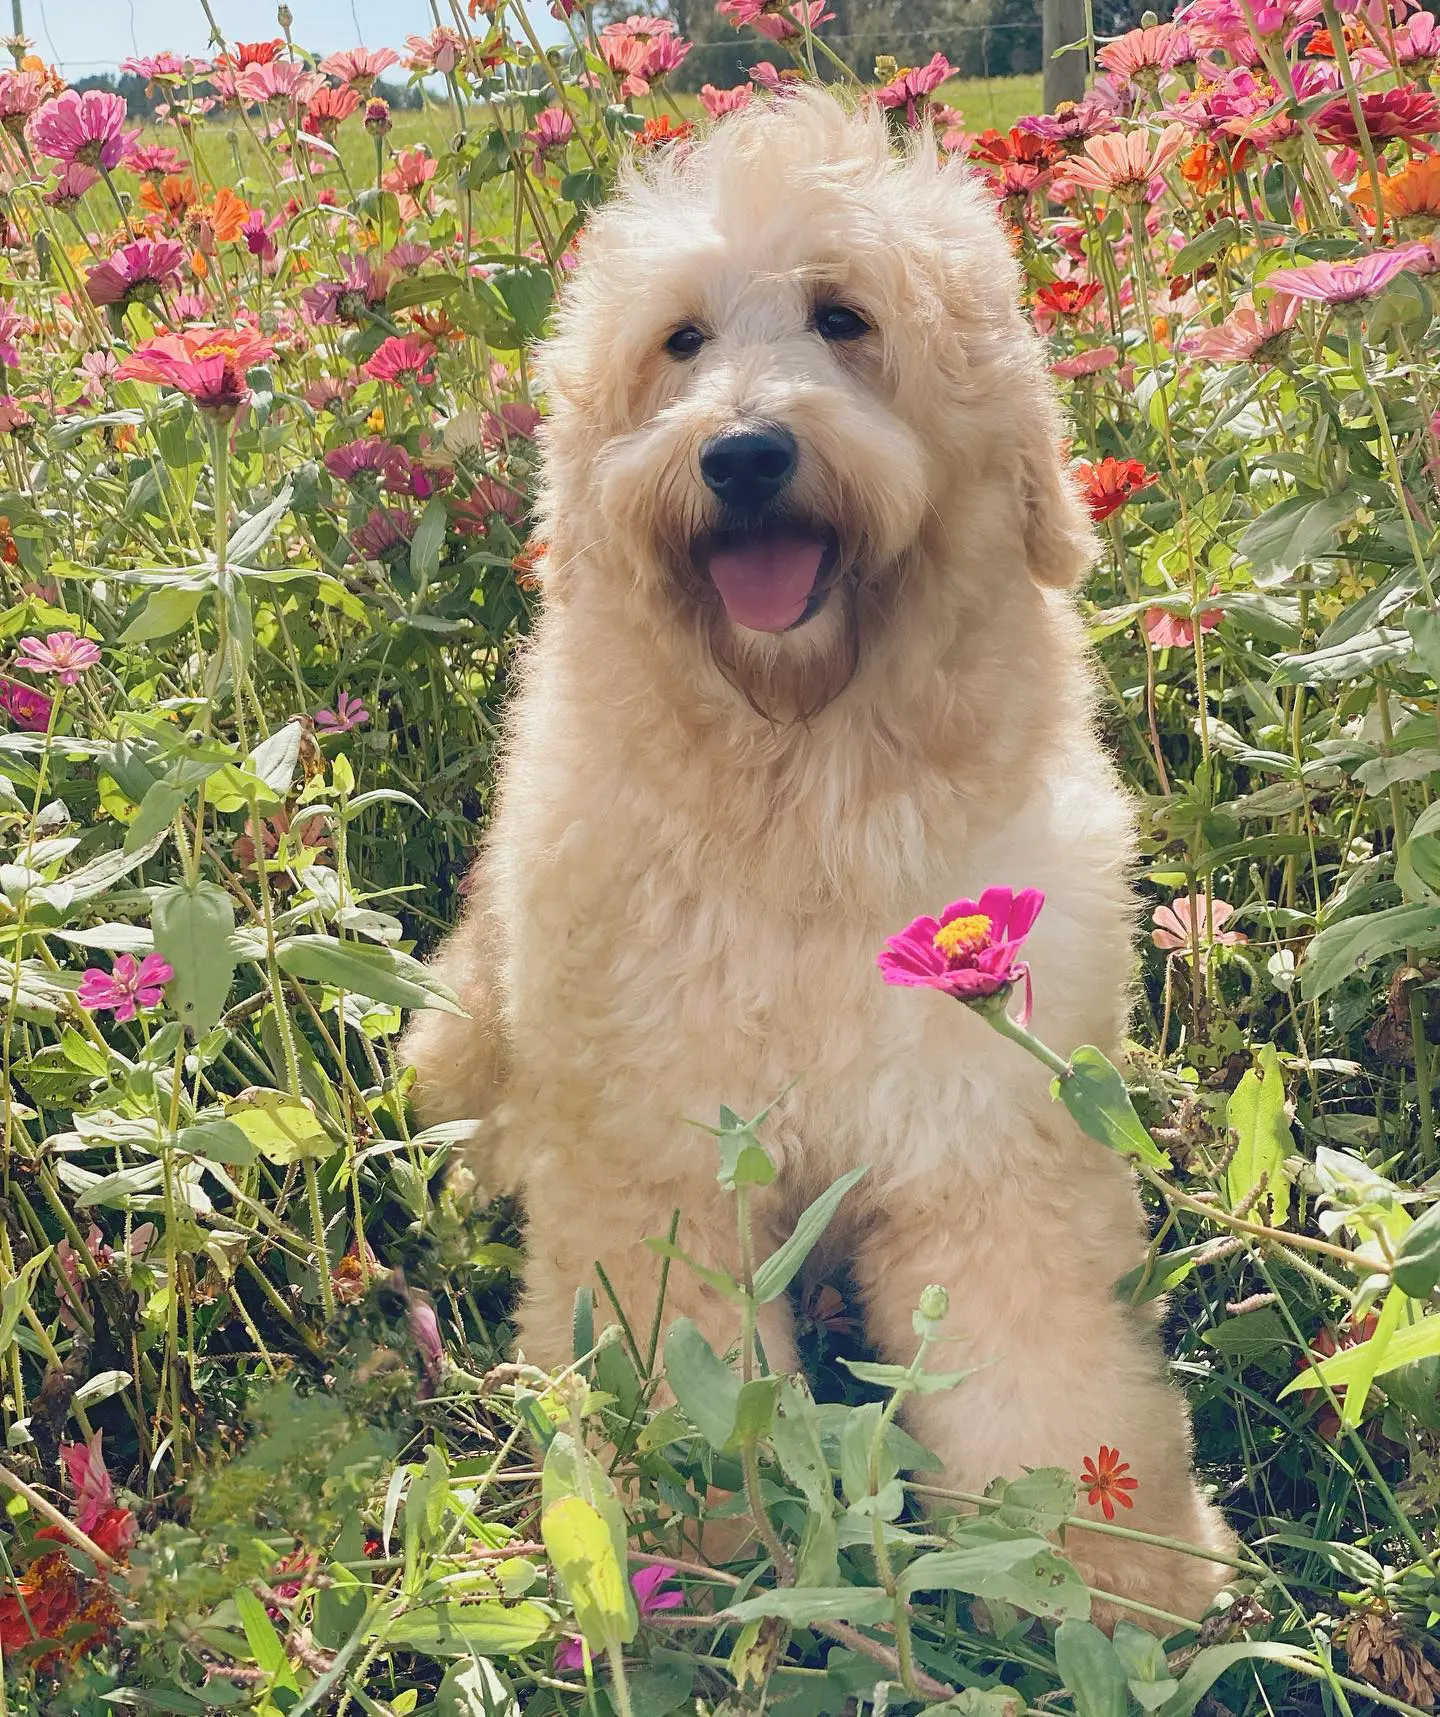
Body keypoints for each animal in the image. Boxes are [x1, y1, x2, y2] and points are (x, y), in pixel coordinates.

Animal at [399, 90, 1235, 1620]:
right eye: (681, 340)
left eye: (844, 318)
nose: (742, 455)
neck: (803, 784)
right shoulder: (657, 1156)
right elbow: (671, 1356)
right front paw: (690, 1550)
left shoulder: (987, 1133)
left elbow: (1049, 1374)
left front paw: (1117, 1578)